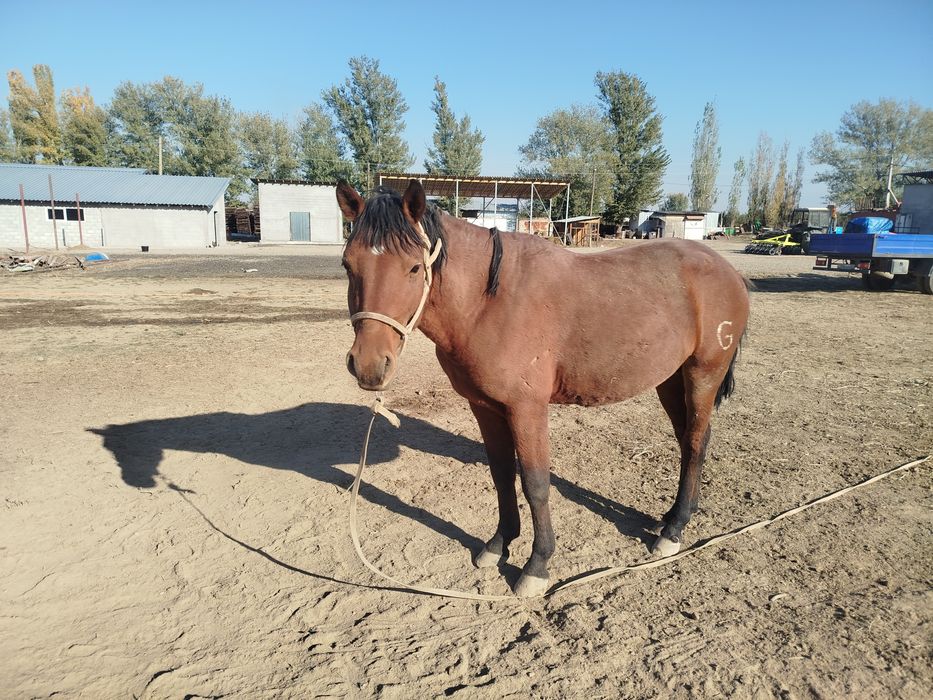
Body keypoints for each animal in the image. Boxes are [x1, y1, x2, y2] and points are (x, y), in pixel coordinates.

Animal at [336, 179, 750, 597]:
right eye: (348, 265)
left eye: (414, 267)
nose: (370, 365)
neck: (489, 302)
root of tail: (727, 270)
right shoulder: (484, 406)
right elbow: (502, 474)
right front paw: (499, 544)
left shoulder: (527, 408)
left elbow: (535, 484)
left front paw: (537, 565)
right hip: (669, 378)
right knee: (690, 439)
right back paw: (672, 517)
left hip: (703, 374)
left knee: (695, 441)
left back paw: (674, 530)